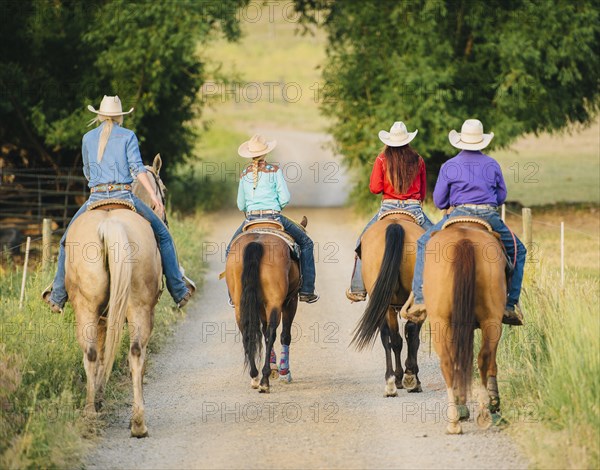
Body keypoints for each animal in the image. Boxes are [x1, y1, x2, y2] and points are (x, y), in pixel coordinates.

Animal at [65, 154, 166, 436]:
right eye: (164, 191)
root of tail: (110, 225)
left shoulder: (103, 316)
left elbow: (101, 352)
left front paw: (98, 397)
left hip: (86, 307)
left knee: (90, 352)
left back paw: (90, 412)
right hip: (140, 308)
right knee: (136, 352)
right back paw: (138, 422)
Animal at [227, 218, 308, 392]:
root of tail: (256, 243)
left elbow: (263, 332)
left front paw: (274, 367)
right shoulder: (290, 301)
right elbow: (284, 335)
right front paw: (283, 372)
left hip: (240, 304)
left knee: (247, 333)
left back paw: (255, 376)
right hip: (275, 302)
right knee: (272, 333)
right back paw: (264, 380)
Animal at [352, 213, 426, 396]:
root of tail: (395, 225)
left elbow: (397, 339)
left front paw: (402, 377)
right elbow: (411, 338)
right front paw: (411, 378)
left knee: (388, 335)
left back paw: (391, 382)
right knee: (406, 333)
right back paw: (406, 379)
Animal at [422, 217, 506, 434]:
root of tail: (464, 240)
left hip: (440, 321)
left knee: (448, 361)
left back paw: (455, 419)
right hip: (491, 319)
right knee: (483, 357)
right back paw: (482, 411)